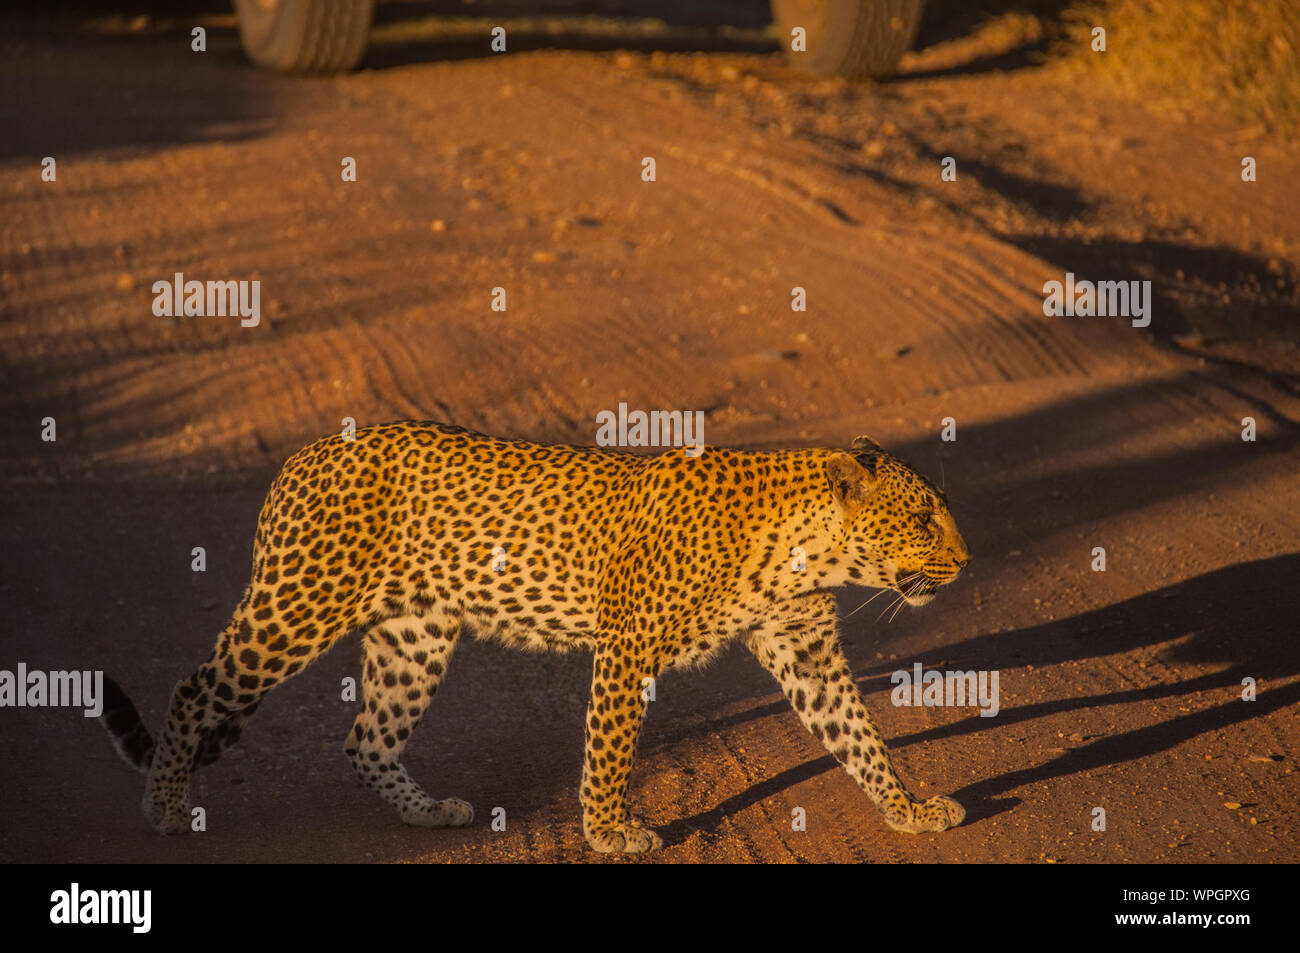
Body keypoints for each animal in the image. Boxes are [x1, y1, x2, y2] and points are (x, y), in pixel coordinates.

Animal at [100, 421, 970, 854]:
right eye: (924, 517)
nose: (965, 560)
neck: (805, 549)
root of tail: (302, 456)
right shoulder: (627, 644)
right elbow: (611, 748)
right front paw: (610, 830)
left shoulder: (806, 650)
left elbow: (860, 736)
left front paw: (908, 807)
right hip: (297, 607)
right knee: (194, 688)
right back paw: (166, 808)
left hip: (414, 635)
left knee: (366, 737)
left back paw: (427, 812)